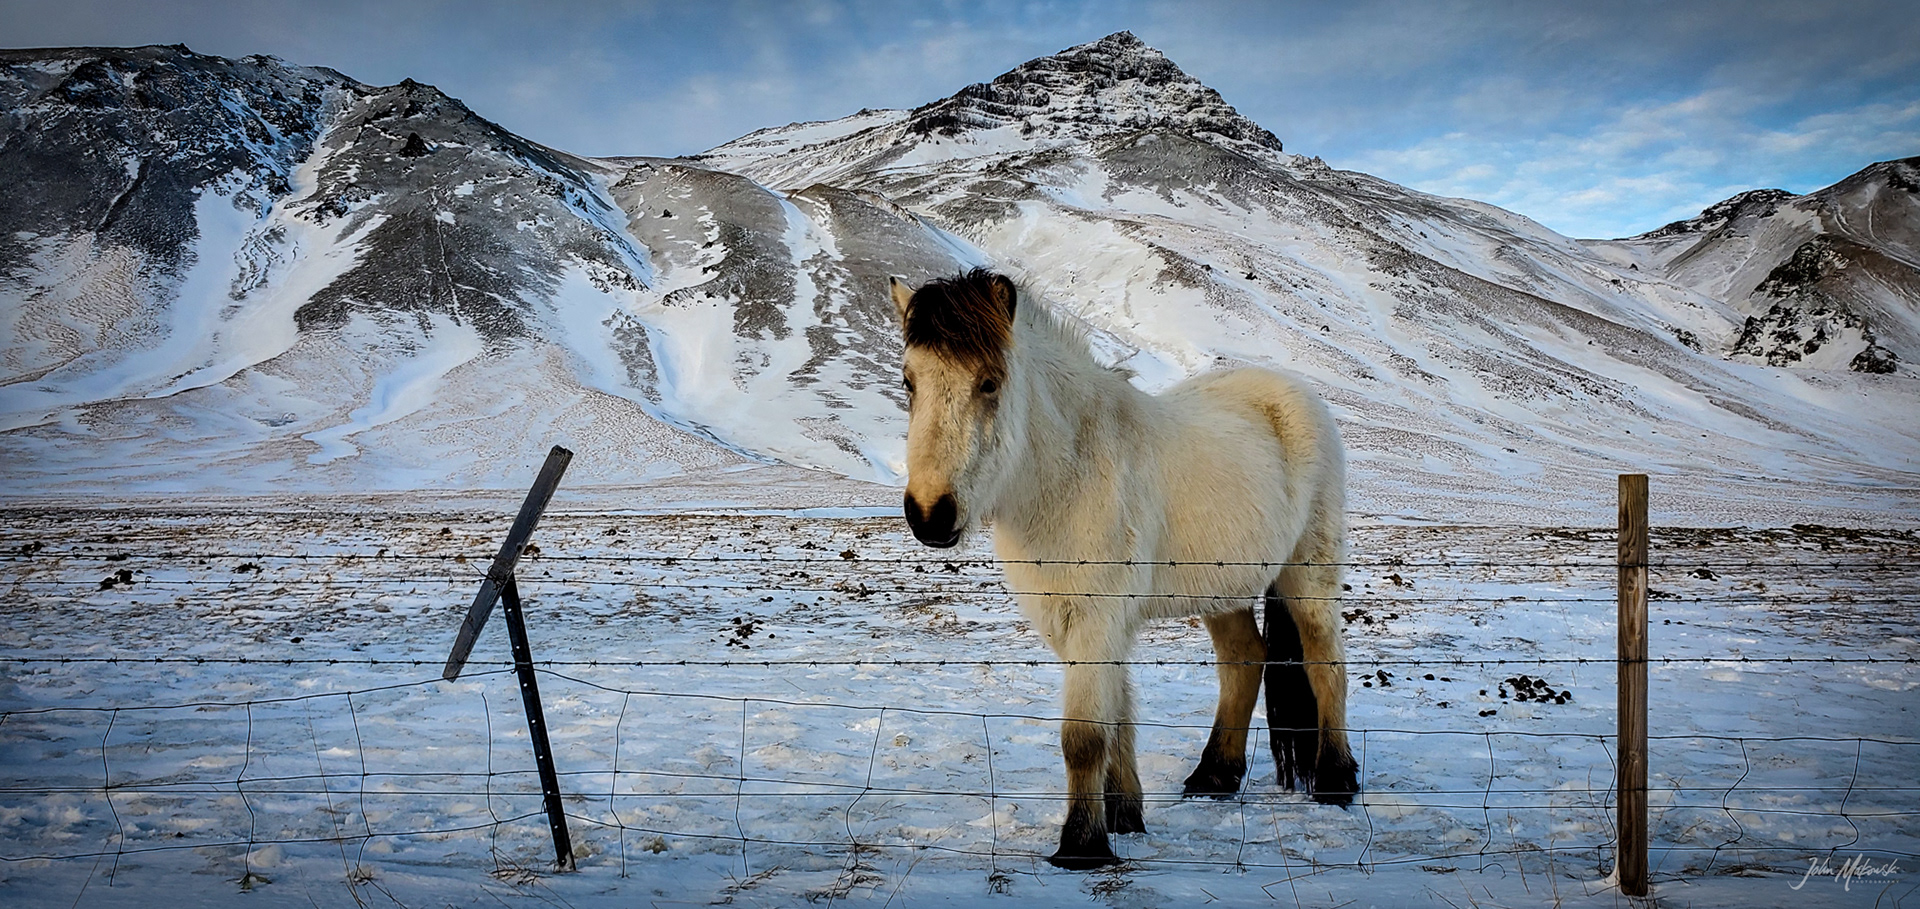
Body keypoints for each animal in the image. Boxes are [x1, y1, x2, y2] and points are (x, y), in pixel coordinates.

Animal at [888, 269, 1358, 869]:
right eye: (909, 381)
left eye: (989, 383)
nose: (931, 513)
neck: (1068, 472)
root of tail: (1293, 390)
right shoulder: (1075, 622)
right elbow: (1118, 714)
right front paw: (1125, 817)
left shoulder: (1096, 618)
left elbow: (1085, 736)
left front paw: (1082, 845)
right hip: (1223, 590)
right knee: (1243, 660)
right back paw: (1214, 776)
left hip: (1309, 576)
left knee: (1326, 664)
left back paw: (1336, 781)